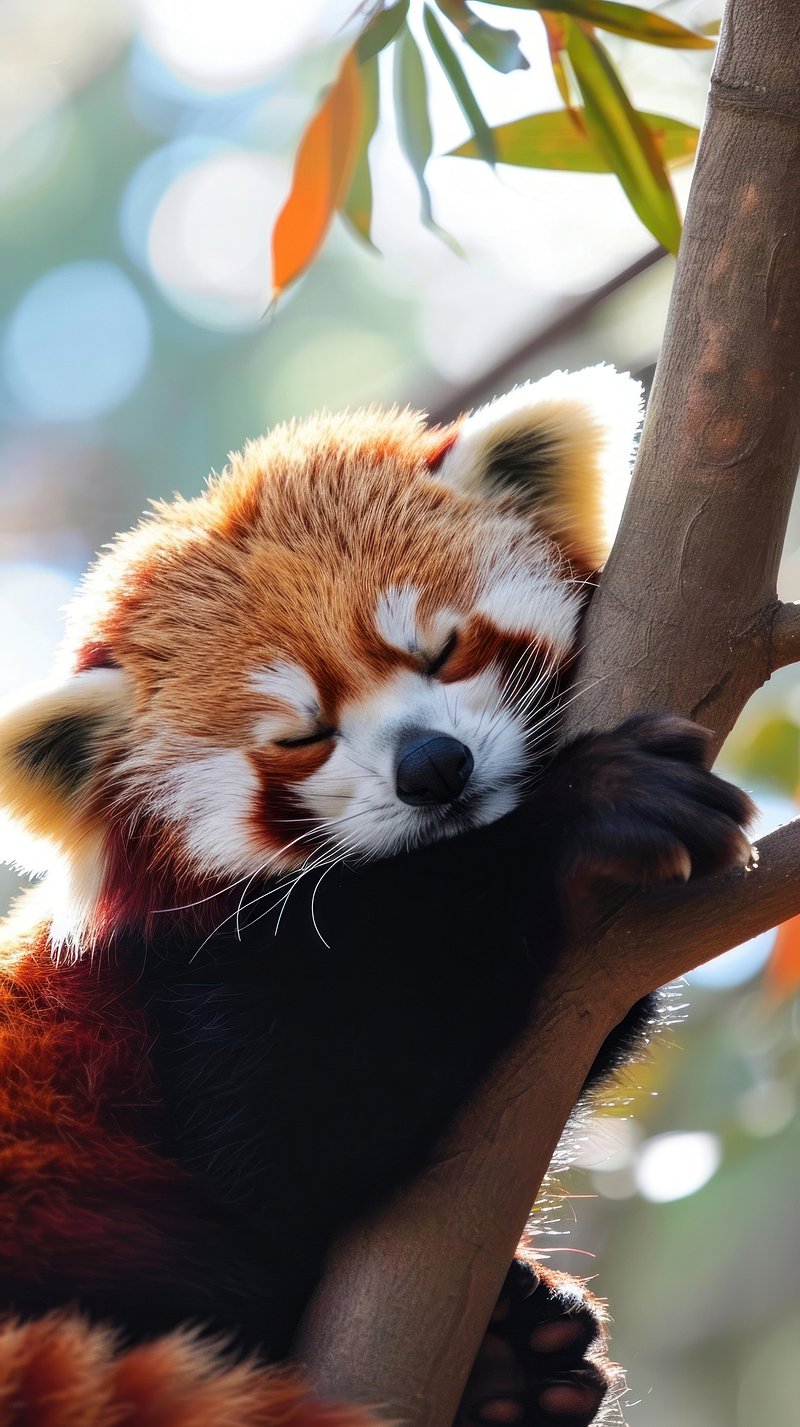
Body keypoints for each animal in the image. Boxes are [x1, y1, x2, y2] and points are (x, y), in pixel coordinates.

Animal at [0, 367, 753, 1427]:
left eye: (442, 650)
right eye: (300, 734)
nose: (434, 767)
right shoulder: (184, 992)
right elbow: (299, 1138)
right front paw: (578, 816)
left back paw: (515, 1366)